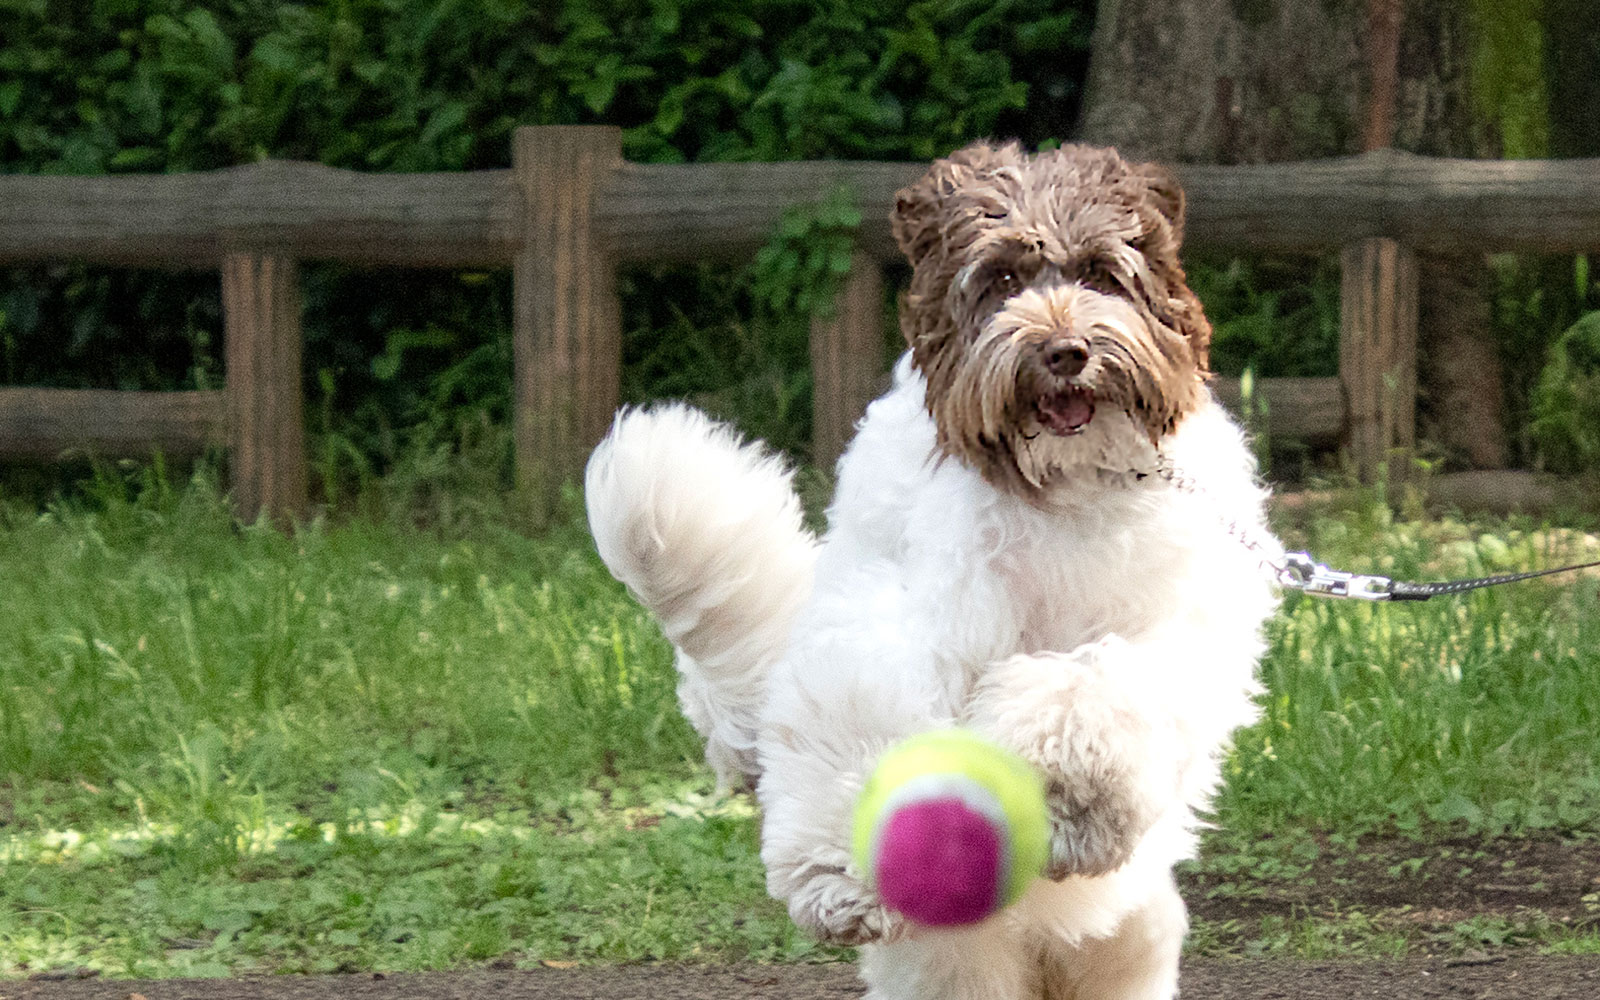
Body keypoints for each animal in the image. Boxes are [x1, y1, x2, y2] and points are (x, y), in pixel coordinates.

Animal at [585, 142, 1273, 998]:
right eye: (1003, 278)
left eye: (1100, 273)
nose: (1065, 352)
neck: (1063, 492)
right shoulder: (895, 622)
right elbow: (862, 717)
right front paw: (840, 877)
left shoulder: (1173, 634)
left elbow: (1089, 691)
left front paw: (1068, 806)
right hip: (953, 956)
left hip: (1126, 939)